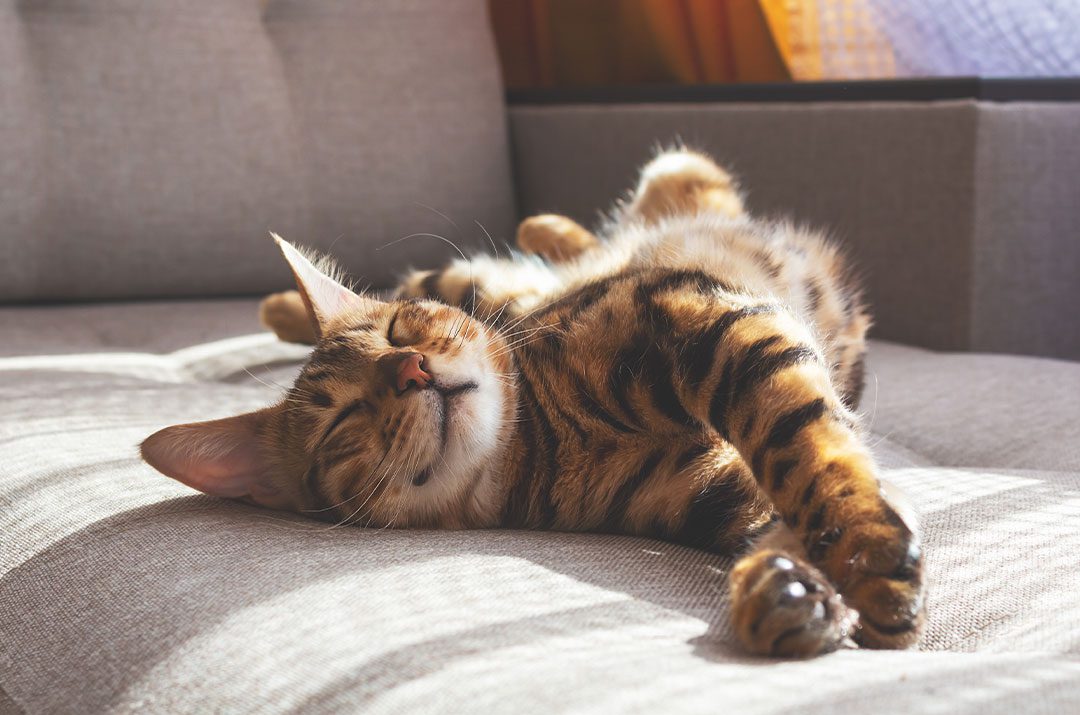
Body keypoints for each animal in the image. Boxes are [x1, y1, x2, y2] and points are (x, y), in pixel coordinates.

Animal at [139, 151, 924, 660]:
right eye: (342, 421)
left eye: (398, 333)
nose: (412, 369)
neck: (546, 439)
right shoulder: (716, 487)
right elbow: (785, 503)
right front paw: (791, 591)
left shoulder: (698, 311)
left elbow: (807, 448)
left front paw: (865, 556)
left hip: (586, 231)